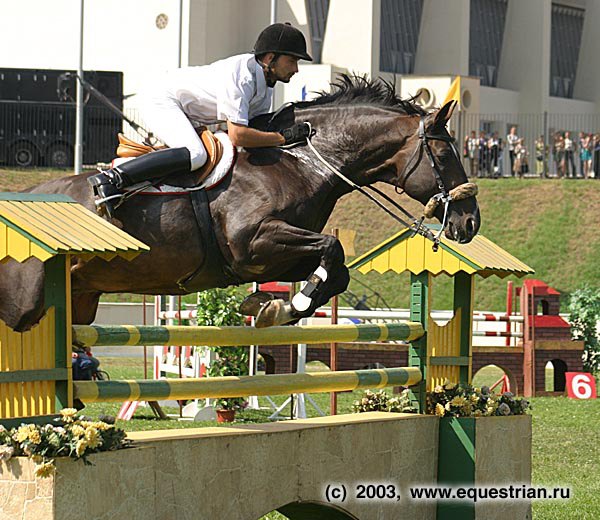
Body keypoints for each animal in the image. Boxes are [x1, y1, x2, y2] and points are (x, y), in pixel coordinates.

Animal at [0, 75, 478, 332]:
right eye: (444, 155)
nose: (470, 222)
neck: (300, 161)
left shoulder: (272, 258)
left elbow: (336, 271)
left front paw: (273, 306)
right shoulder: (254, 242)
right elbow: (333, 247)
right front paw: (286, 307)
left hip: (77, 298)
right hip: (22, 304)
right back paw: (107, 186)